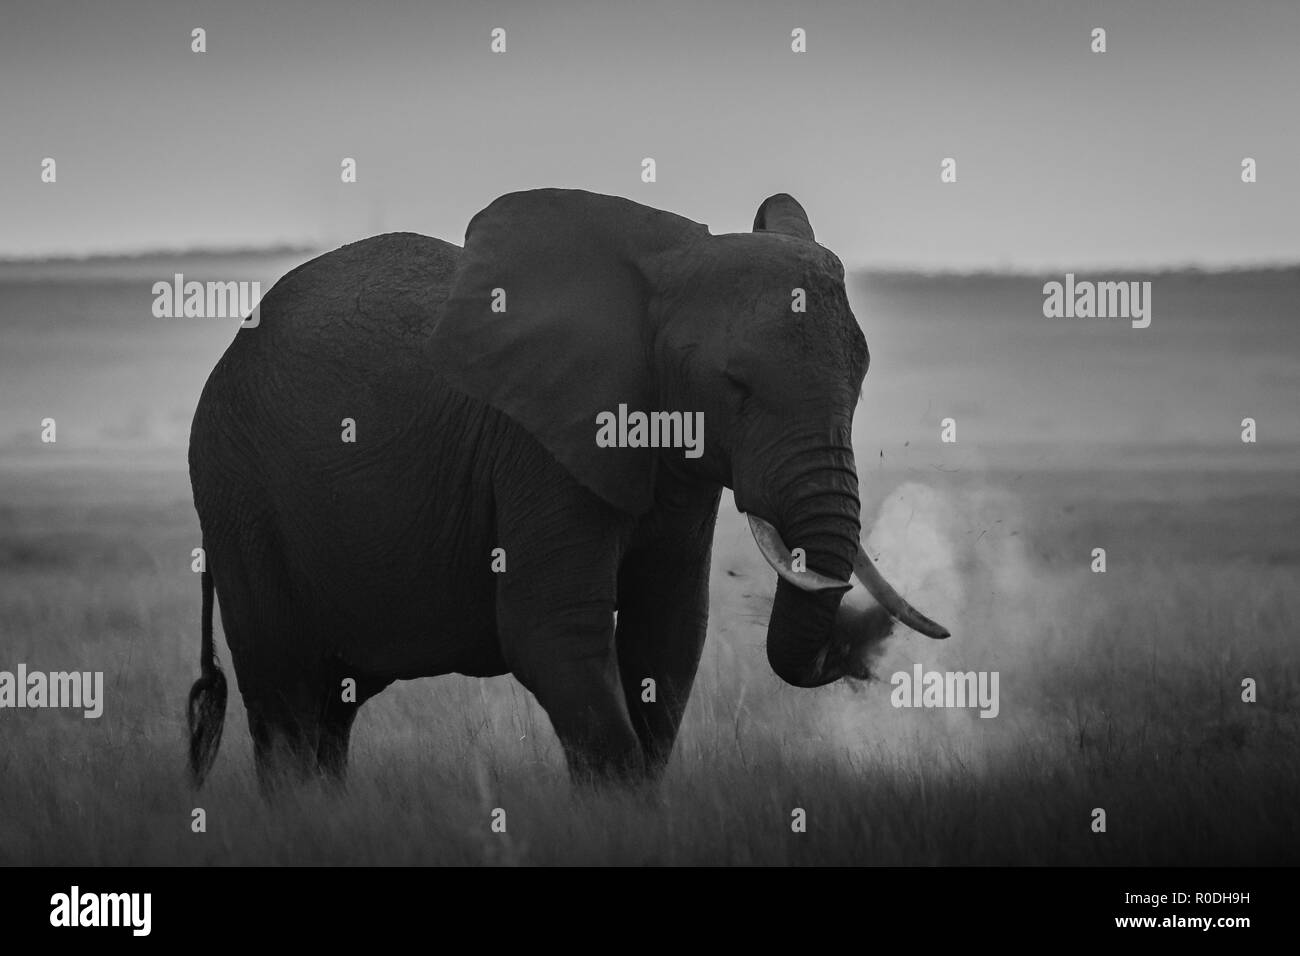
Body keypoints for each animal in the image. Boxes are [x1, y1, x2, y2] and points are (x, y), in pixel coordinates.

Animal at [185, 188, 946, 790]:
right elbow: (554, 633)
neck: (662, 270)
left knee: (332, 707)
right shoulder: (538, 447)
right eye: (736, 385)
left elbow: (668, 636)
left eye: (861, 381)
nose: (860, 650)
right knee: (283, 692)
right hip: (237, 493)